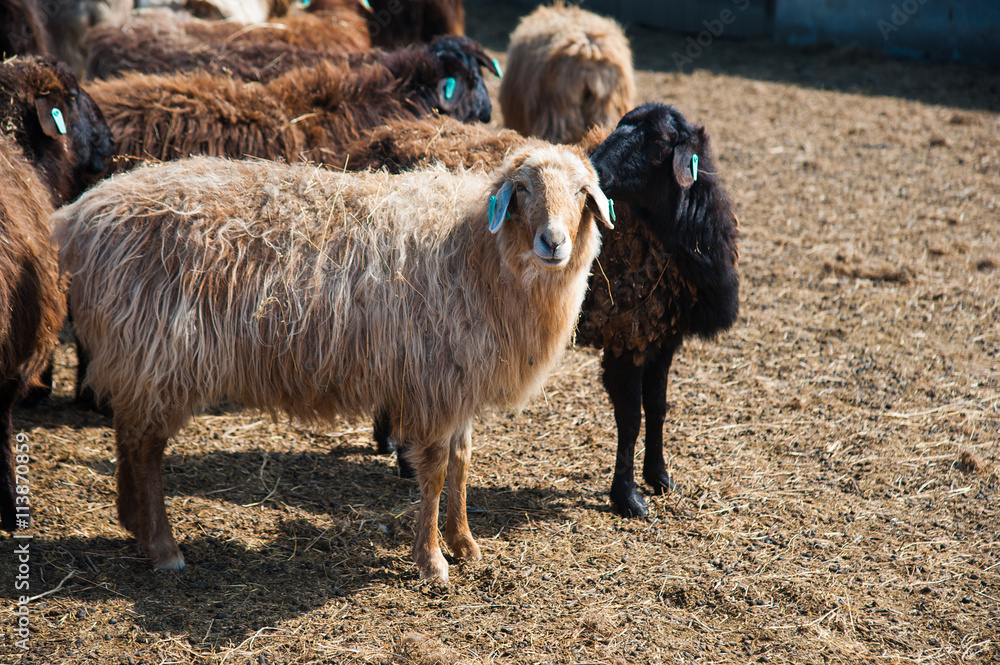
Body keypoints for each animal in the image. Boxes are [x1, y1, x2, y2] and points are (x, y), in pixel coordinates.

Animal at [54, 145, 614, 581]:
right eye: (521, 189)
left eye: (582, 193)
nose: (553, 242)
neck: (478, 249)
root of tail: (80, 216)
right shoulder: (433, 384)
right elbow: (434, 472)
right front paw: (432, 561)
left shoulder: (459, 384)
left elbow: (461, 464)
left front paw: (465, 544)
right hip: (159, 354)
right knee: (146, 449)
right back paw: (163, 547)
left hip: (138, 357)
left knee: (128, 436)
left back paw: (133, 524)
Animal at [343, 104, 740, 518]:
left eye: (660, 140)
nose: (595, 169)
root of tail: (378, 140)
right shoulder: (626, 337)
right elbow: (631, 417)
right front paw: (627, 496)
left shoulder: (661, 336)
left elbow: (659, 408)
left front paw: (660, 477)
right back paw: (403, 456)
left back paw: (390, 445)